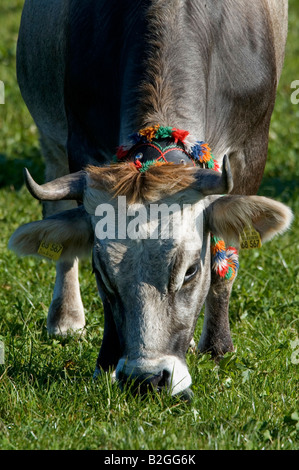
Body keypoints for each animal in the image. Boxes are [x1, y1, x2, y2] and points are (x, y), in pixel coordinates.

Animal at [9, 0, 292, 398]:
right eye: (103, 273)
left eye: (190, 271)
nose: (146, 379)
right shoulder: (81, 143)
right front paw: (106, 362)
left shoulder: (251, 152)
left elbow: (225, 264)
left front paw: (218, 348)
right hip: (50, 139)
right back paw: (65, 318)